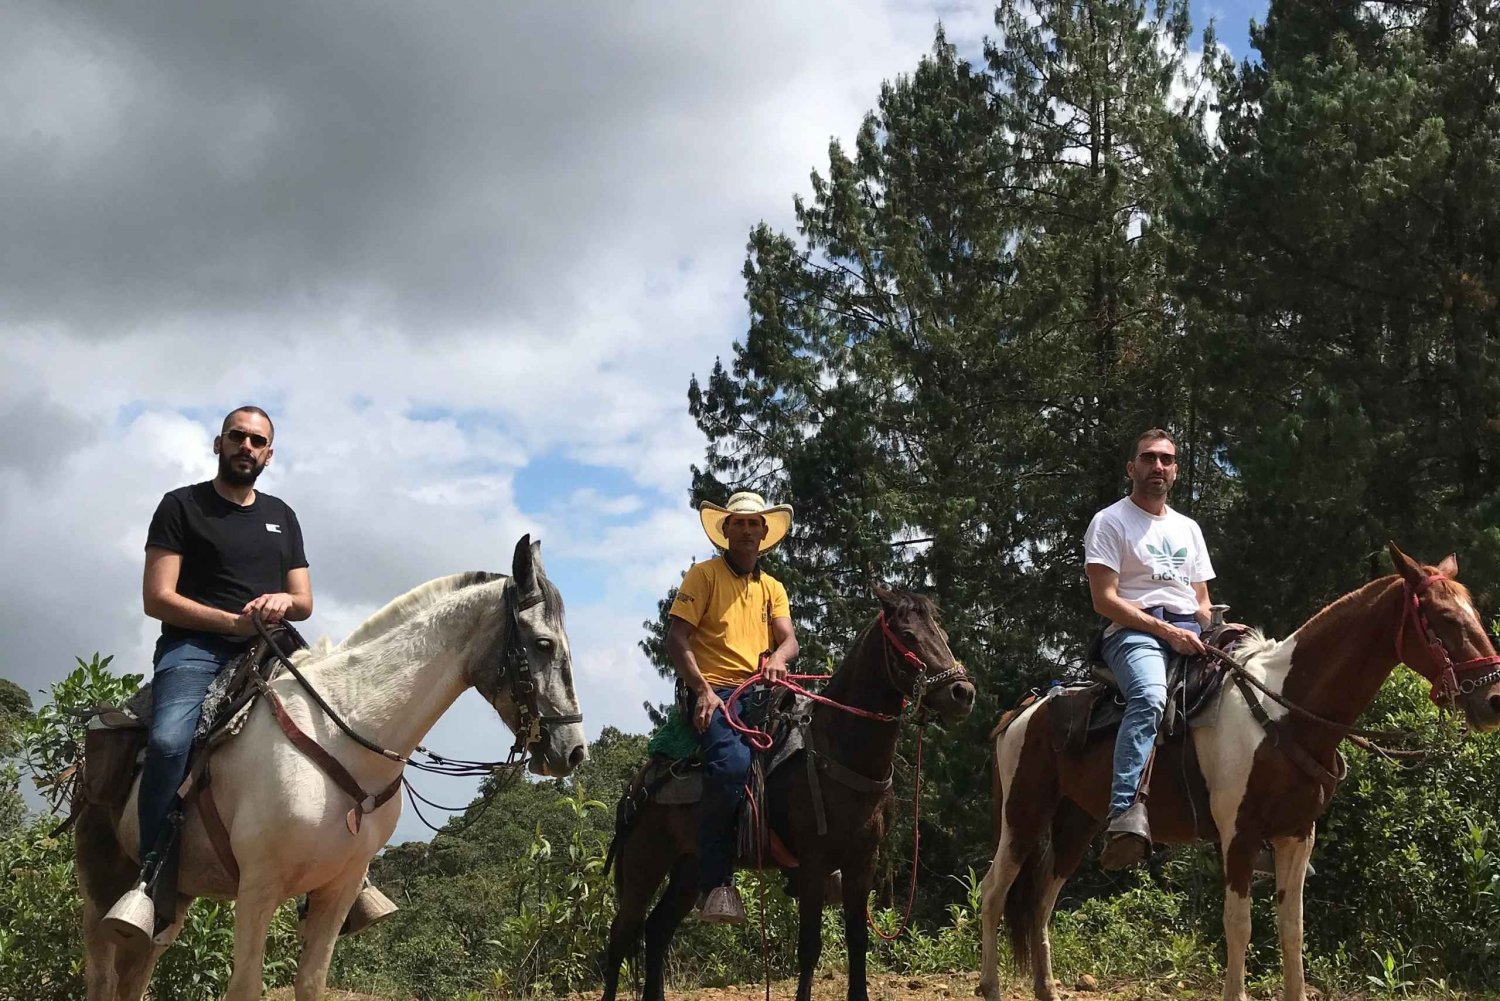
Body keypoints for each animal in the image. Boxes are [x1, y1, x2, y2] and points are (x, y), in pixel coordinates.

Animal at [74, 537, 585, 1001]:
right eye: (543, 644)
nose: (574, 751)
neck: (341, 732)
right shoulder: (257, 889)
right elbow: (245, 987)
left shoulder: (337, 890)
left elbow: (311, 983)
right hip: (104, 886)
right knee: (102, 977)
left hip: (173, 898)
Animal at [603, 588, 978, 1001]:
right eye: (908, 635)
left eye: (942, 633)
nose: (962, 693)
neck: (840, 750)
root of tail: (638, 786)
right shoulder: (813, 864)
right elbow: (810, 946)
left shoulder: (863, 861)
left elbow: (858, 939)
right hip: (646, 864)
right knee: (620, 936)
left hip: (689, 867)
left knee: (657, 930)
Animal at [972, 543, 1500, 1001]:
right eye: (1445, 618)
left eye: (1474, 613)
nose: (1492, 699)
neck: (1286, 712)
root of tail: (1025, 711)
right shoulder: (1238, 835)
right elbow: (1239, 925)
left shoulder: (1296, 834)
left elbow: (1292, 928)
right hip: (1022, 818)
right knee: (994, 893)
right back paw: (992, 987)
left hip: (1075, 825)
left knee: (1041, 902)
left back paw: (1046, 989)